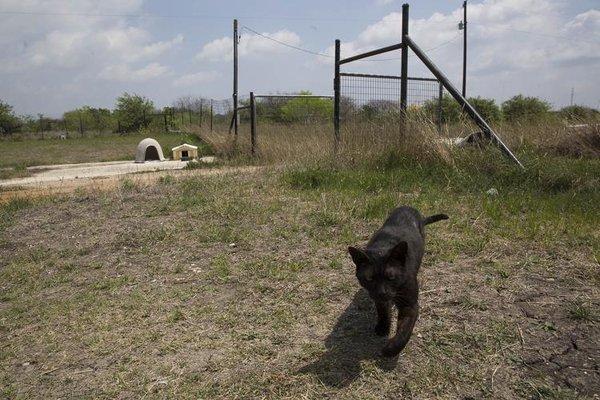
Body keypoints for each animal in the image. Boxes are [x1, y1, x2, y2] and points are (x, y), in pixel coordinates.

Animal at [346, 206, 446, 356]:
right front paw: (383, 327)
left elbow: (404, 331)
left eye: (391, 277)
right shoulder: (379, 300)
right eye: (369, 278)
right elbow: (382, 312)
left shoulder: (409, 305)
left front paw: (391, 349)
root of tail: (408, 207)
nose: (382, 292)